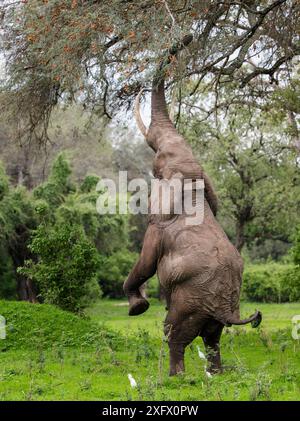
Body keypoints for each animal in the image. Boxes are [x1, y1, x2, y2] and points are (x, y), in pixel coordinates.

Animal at [123, 33, 262, 374]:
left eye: (157, 164)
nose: (188, 36)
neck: (191, 181)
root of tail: (227, 308)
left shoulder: (160, 223)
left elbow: (146, 260)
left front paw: (137, 307)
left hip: (190, 300)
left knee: (174, 333)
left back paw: (175, 377)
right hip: (210, 306)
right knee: (213, 338)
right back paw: (215, 375)